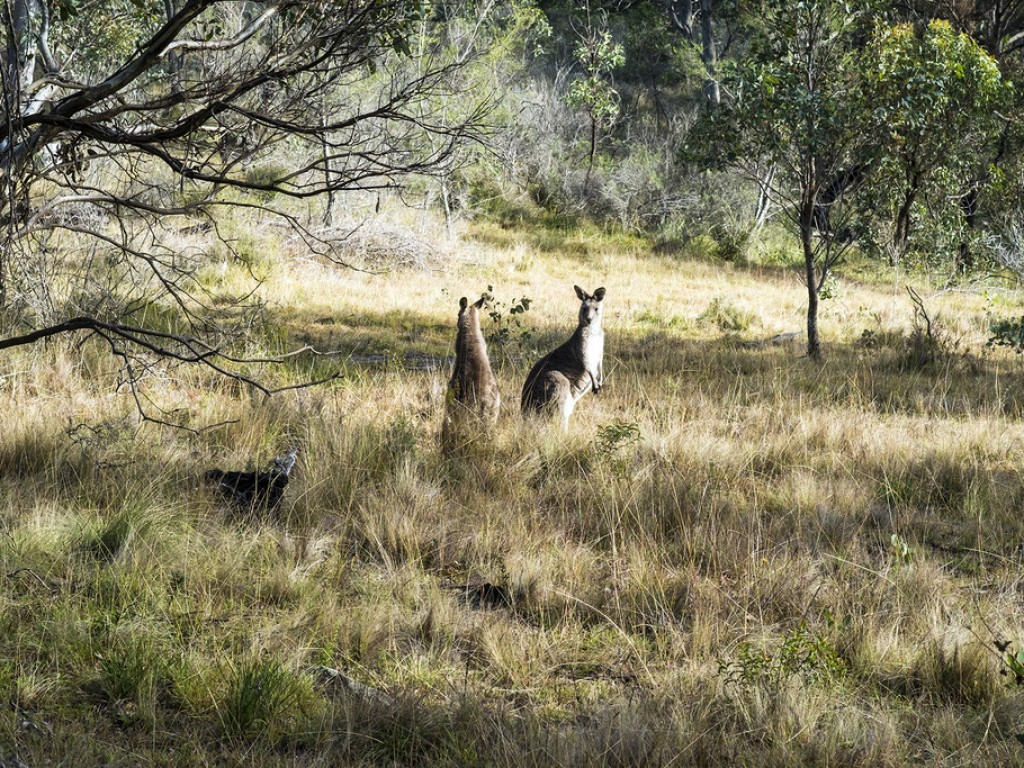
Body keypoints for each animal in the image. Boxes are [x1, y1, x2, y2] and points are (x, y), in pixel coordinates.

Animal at [521, 285, 605, 429]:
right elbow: (587, 364)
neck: (592, 330)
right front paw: (595, 383)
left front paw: (600, 381)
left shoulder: (599, 347)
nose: (588, 319)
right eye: (584, 308)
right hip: (557, 384)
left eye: (596, 309)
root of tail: (524, 411)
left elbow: (599, 363)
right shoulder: (582, 347)